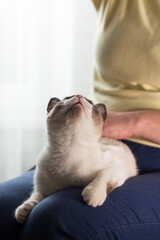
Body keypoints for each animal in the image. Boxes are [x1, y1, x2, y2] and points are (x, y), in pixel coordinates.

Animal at [15, 94, 138, 223]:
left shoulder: (115, 168)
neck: (70, 148)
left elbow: (101, 177)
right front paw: (23, 212)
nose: (79, 95)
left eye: (89, 102)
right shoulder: (43, 190)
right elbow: (34, 198)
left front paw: (92, 197)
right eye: (68, 98)